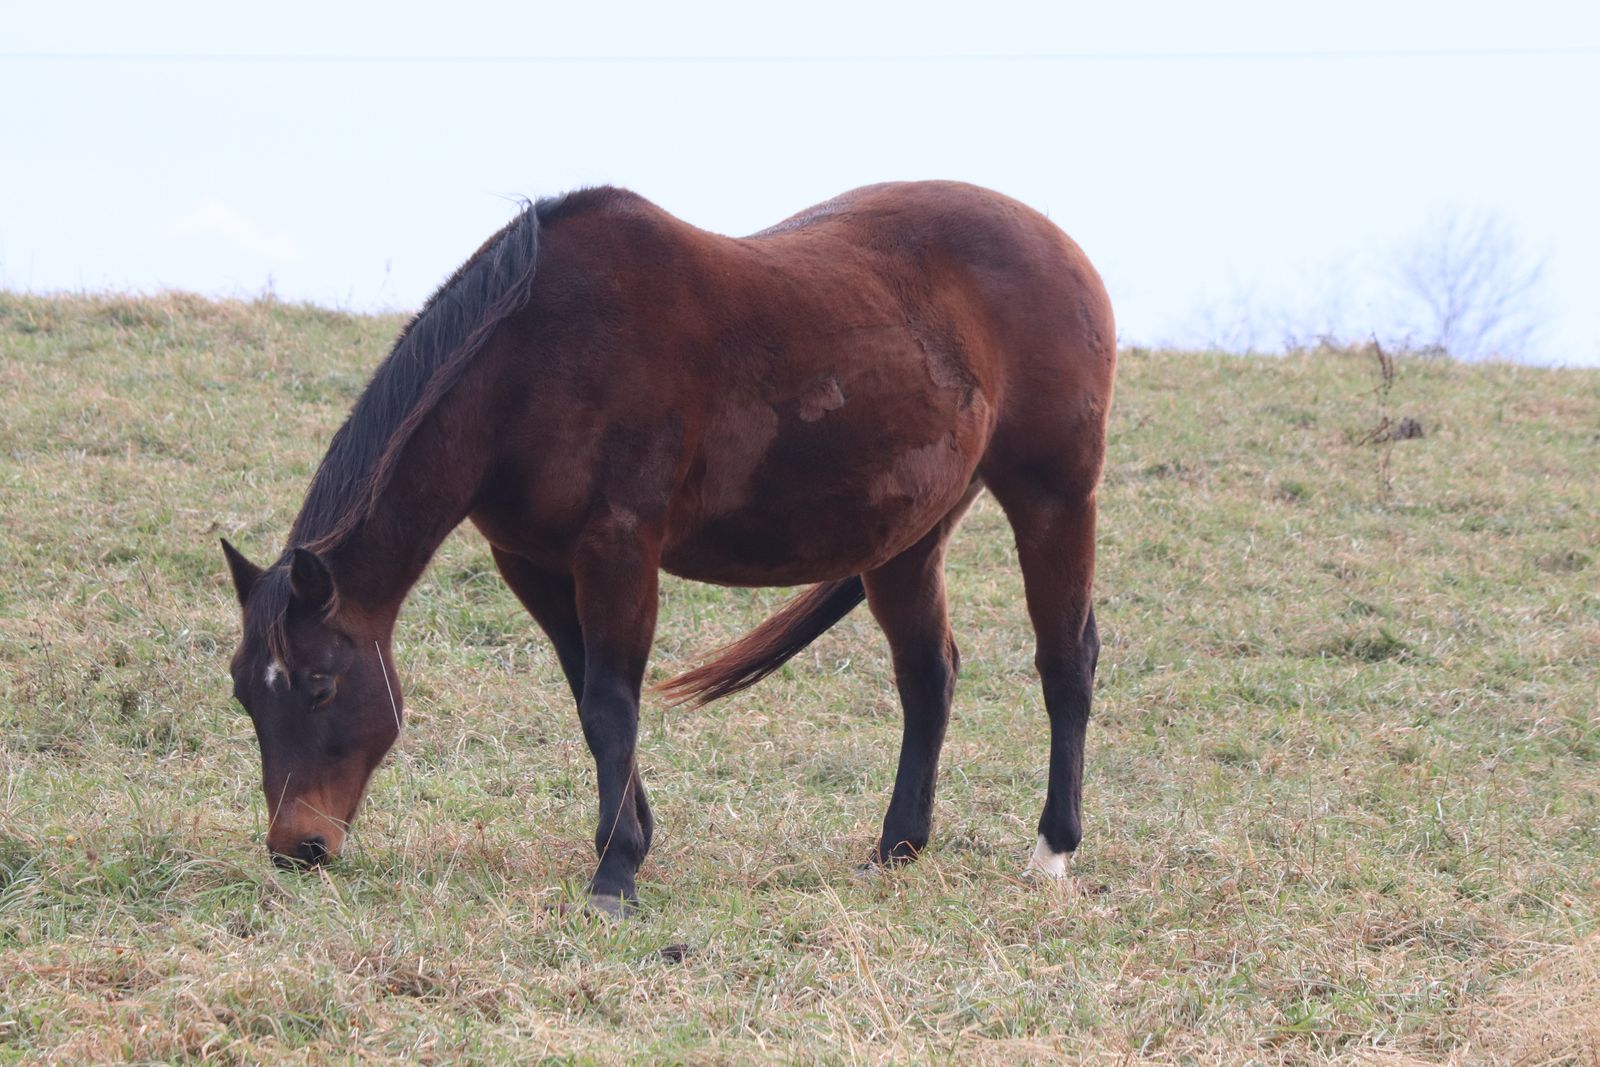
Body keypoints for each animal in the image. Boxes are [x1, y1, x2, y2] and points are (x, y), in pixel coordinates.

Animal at [221, 182, 1115, 916]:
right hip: (904, 539)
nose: (298, 847)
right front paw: (631, 837)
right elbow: (588, 693)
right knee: (929, 675)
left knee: (1065, 660)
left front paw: (615, 873)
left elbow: (610, 703)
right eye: (244, 695)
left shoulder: (619, 548)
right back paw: (896, 847)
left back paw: (1052, 851)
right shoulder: (534, 563)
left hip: (1053, 498)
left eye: (320, 686)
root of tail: (1061, 245)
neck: (537, 357)